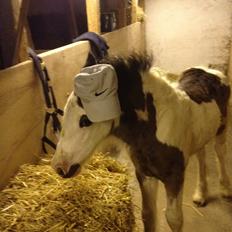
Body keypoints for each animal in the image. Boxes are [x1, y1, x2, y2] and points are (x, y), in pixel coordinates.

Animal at [51, 53, 232, 232]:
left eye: (85, 120)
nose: (60, 167)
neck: (155, 127)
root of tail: (210, 70)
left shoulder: (175, 177)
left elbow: (174, 218)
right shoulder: (145, 174)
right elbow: (148, 215)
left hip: (222, 129)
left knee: (220, 152)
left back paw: (225, 190)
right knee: (201, 155)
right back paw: (200, 195)